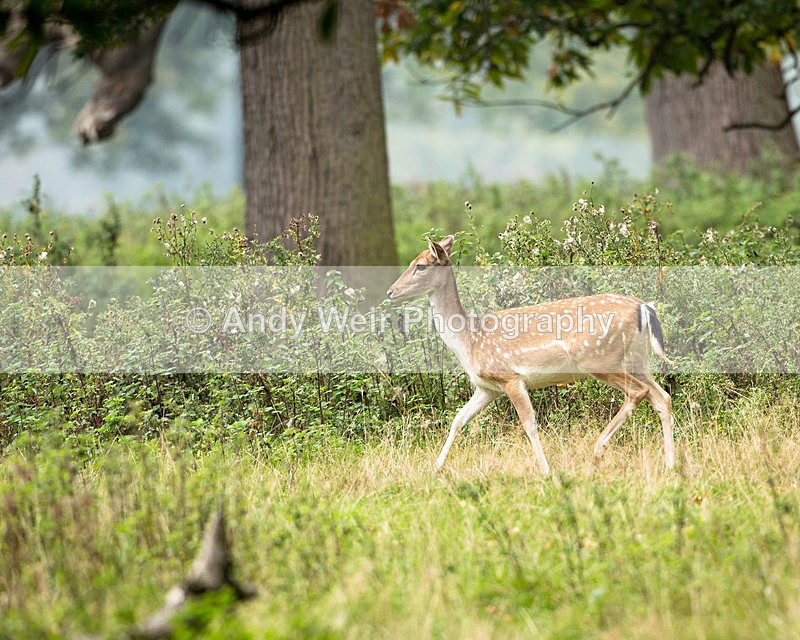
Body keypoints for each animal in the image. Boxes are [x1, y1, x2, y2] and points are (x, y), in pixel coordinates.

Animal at [386, 235, 675, 475]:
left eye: (421, 265)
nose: (391, 291)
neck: (469, 341)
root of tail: (645, 307)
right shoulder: (487, 387)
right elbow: (458, 420)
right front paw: (436, 468)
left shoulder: (510, 377)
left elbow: (529, 424)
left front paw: (546, 471)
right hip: (637, 360)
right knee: (662, 397)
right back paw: (670, 464)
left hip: (598, 357)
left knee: (638, 392)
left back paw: (598, 448)